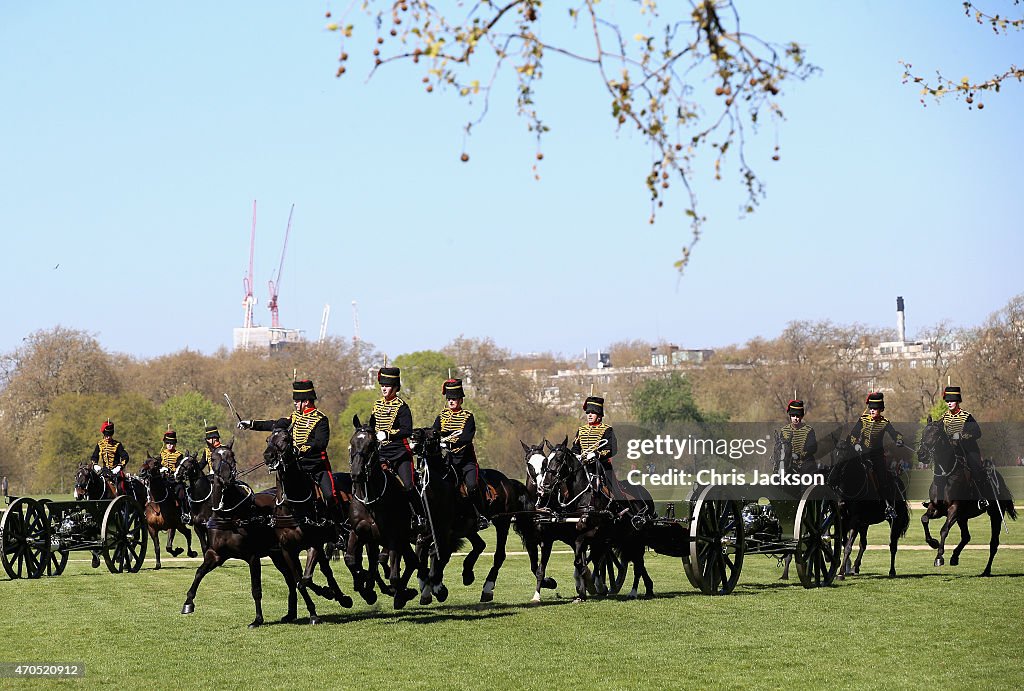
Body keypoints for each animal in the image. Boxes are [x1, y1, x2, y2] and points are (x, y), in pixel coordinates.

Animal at [921, 419, 1015, 577]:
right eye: (923, 432)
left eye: (935, 434)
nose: (921, 454)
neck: (946, 475)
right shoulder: (936, 509)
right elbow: (924, 519)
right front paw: (933, 542)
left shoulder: (954, 508)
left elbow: (944, 530)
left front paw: (939, 557)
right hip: (963, 517)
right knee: (966, 536)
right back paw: (954, 557)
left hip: (995, 515)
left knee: (993, 544)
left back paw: (986, 571)